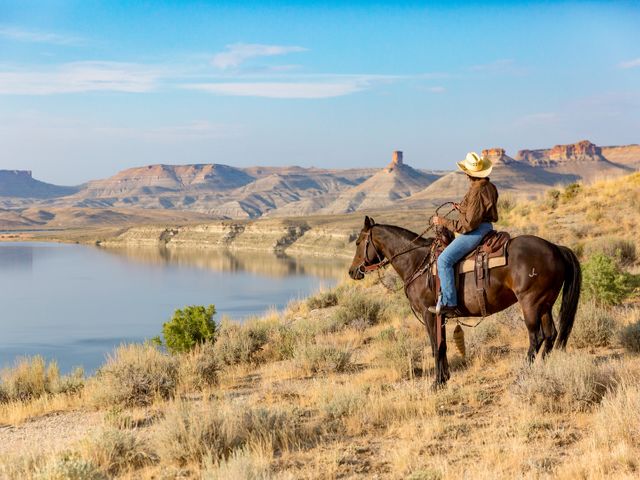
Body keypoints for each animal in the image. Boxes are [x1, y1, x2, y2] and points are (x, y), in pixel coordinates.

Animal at [348, 216, 584, 388]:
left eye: (358, 242)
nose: (352, 272)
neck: (417, 262)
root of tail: (556, 248)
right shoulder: (440, 316)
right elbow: (442, 346)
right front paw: (444, 379)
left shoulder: (429, 313)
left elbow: (435, 347)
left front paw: (437, 383)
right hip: (545, 304)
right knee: (551, 334)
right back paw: (544, 367)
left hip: (530, 303)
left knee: (536, 337)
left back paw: (524, 372)